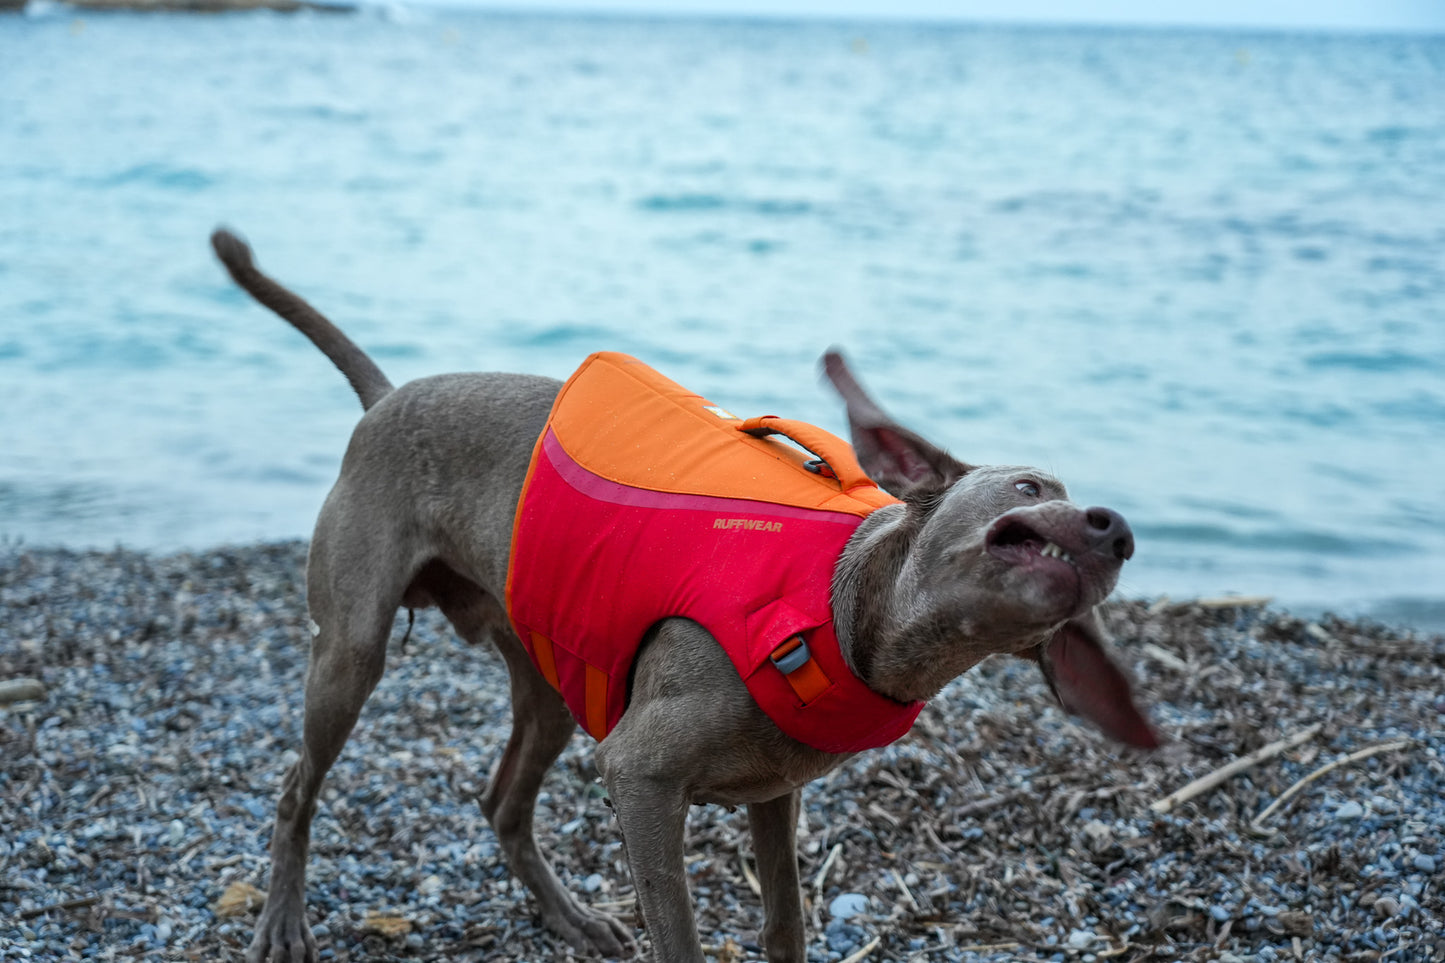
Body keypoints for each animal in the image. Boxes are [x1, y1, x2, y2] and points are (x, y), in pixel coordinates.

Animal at [213, 227, 1156, 960]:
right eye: (1030, 487)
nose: (1117, 529)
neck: (845, 612)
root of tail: (384, 399)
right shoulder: (640, 774)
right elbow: (681, 938)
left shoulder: (773, 794)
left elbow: (785, 925)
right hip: (352, 648)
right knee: (297, 787)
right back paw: (282, 924)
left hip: (550, 680)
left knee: (502, 803)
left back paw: (572, 918)